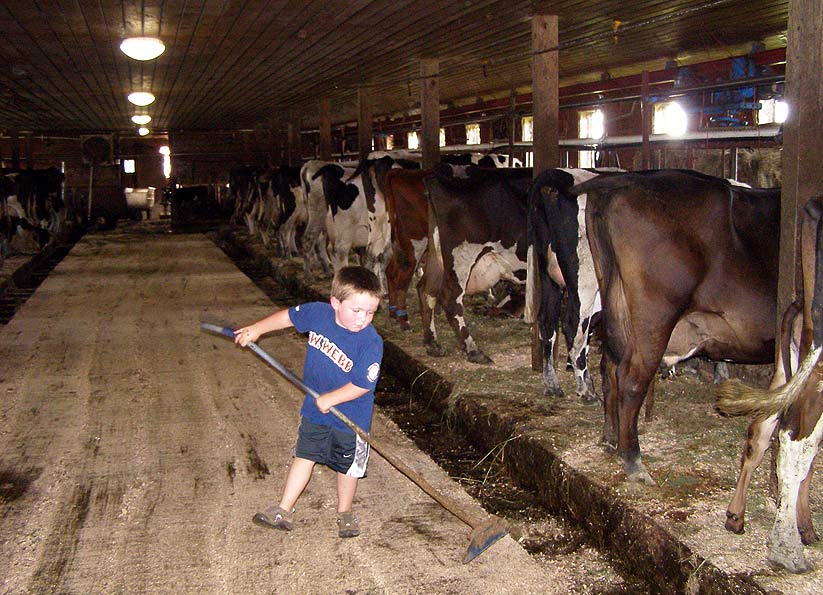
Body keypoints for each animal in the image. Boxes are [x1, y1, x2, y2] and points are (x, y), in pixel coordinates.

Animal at [418, 165, 536, 366]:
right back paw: (473, 350)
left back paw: (432, 344)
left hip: (436, 253)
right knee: (450, 299)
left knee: (427, 290)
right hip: (461, 256)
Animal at [580, 170, 780, 486]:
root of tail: (627, 180)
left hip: (617, 305)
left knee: (609, 367)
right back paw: (634, 461)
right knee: (631, 377)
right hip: (655, 314)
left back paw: (611, 439)